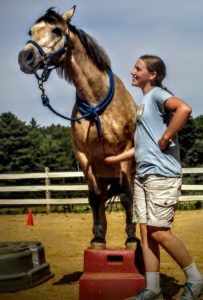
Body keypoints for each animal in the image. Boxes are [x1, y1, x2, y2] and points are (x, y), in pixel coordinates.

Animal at [17, 5, 138, 248]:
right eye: (30, 31)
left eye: (56, 30)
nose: (25, 57)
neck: (96, 105)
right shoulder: (84, 158)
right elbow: (94, 199)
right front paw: (98, 238)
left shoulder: (124, 154)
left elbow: (126, 198)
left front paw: (131, 238)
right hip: (103, 177)